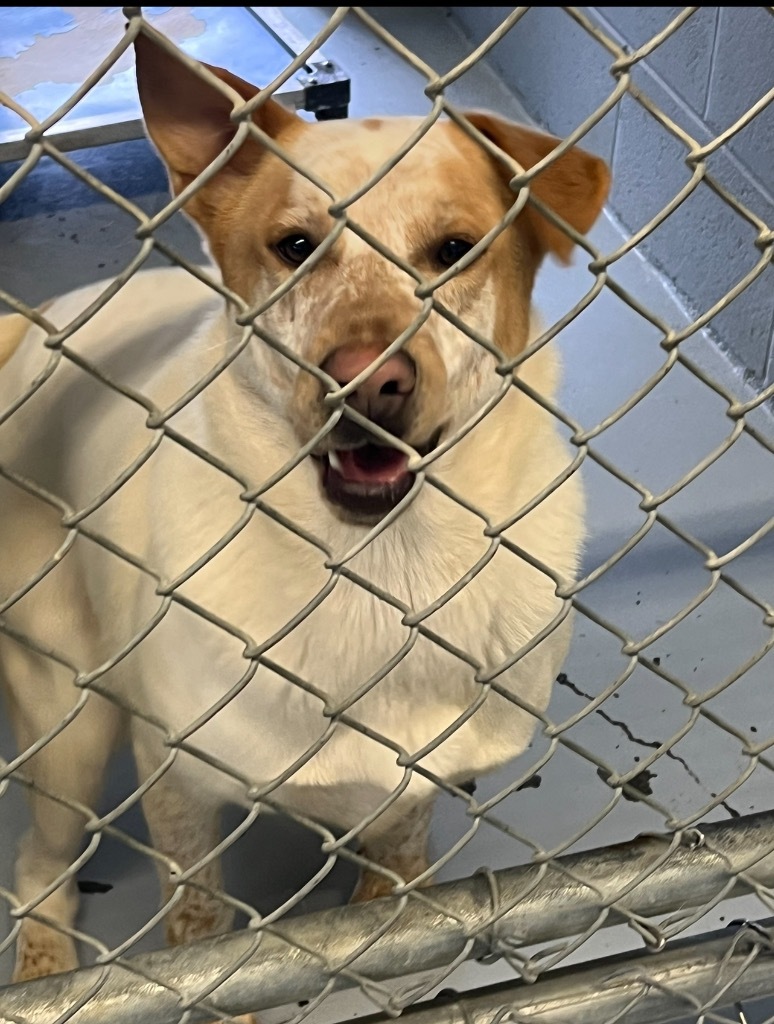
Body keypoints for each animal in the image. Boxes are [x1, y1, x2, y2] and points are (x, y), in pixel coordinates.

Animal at [0, 32, 606, 983]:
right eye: (294, 245)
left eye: (454, 248)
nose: (368, 380)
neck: (381, 574)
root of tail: (37, 322)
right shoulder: (177, 779)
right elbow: (199, 931)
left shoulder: (418, 783)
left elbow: (396, 870)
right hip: (69, 725)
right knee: (38, 868)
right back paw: (45, 964)